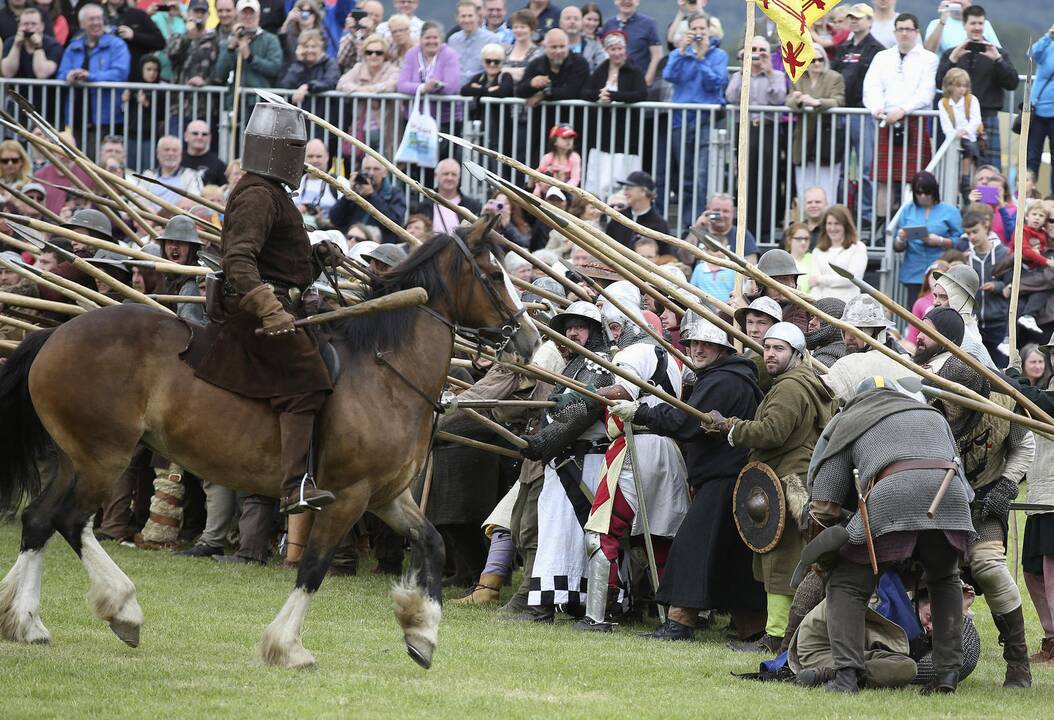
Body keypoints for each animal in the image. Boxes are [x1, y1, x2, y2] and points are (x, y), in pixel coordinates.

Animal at [0, 230, 539, 670]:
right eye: (495, 274)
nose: (531, 338)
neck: (386, 372)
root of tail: (56, 334)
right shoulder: (348, 497)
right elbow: (313, 567)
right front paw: (288, 647)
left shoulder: (387, 497)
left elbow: (432, 542)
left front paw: (421, 634)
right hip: (102, 458)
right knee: (66, 521)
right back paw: (119, 610)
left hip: (78, 459)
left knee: (40, 520)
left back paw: (28, 622)